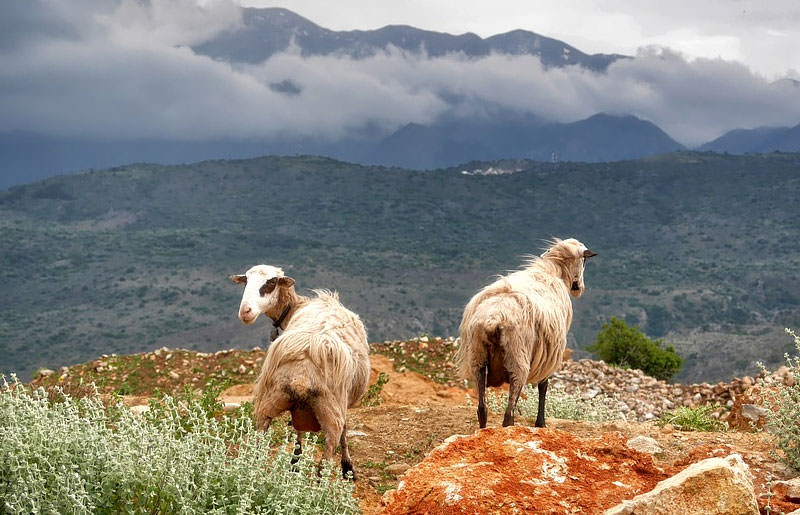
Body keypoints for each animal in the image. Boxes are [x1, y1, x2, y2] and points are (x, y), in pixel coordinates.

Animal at [230, 266, 370, 480]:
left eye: (271, 283)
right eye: (246, 281)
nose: (245, 312)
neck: (299, 305)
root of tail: (302, 375)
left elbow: (298, 431)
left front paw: (295, 462)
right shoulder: (343, 401)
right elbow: (345, 431)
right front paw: (348, 468)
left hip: (269, 403)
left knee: (258, 446)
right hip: (332, 413)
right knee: (325, 460)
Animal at [456, 240, 592, 430]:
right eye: (584, 261)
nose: (579, 288)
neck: (553, 271)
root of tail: (493, 318)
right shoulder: (549, 355)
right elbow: (543, 385)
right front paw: (540, 423)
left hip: (477, 358)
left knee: (482, 409)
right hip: (517, 360)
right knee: (509, 414)